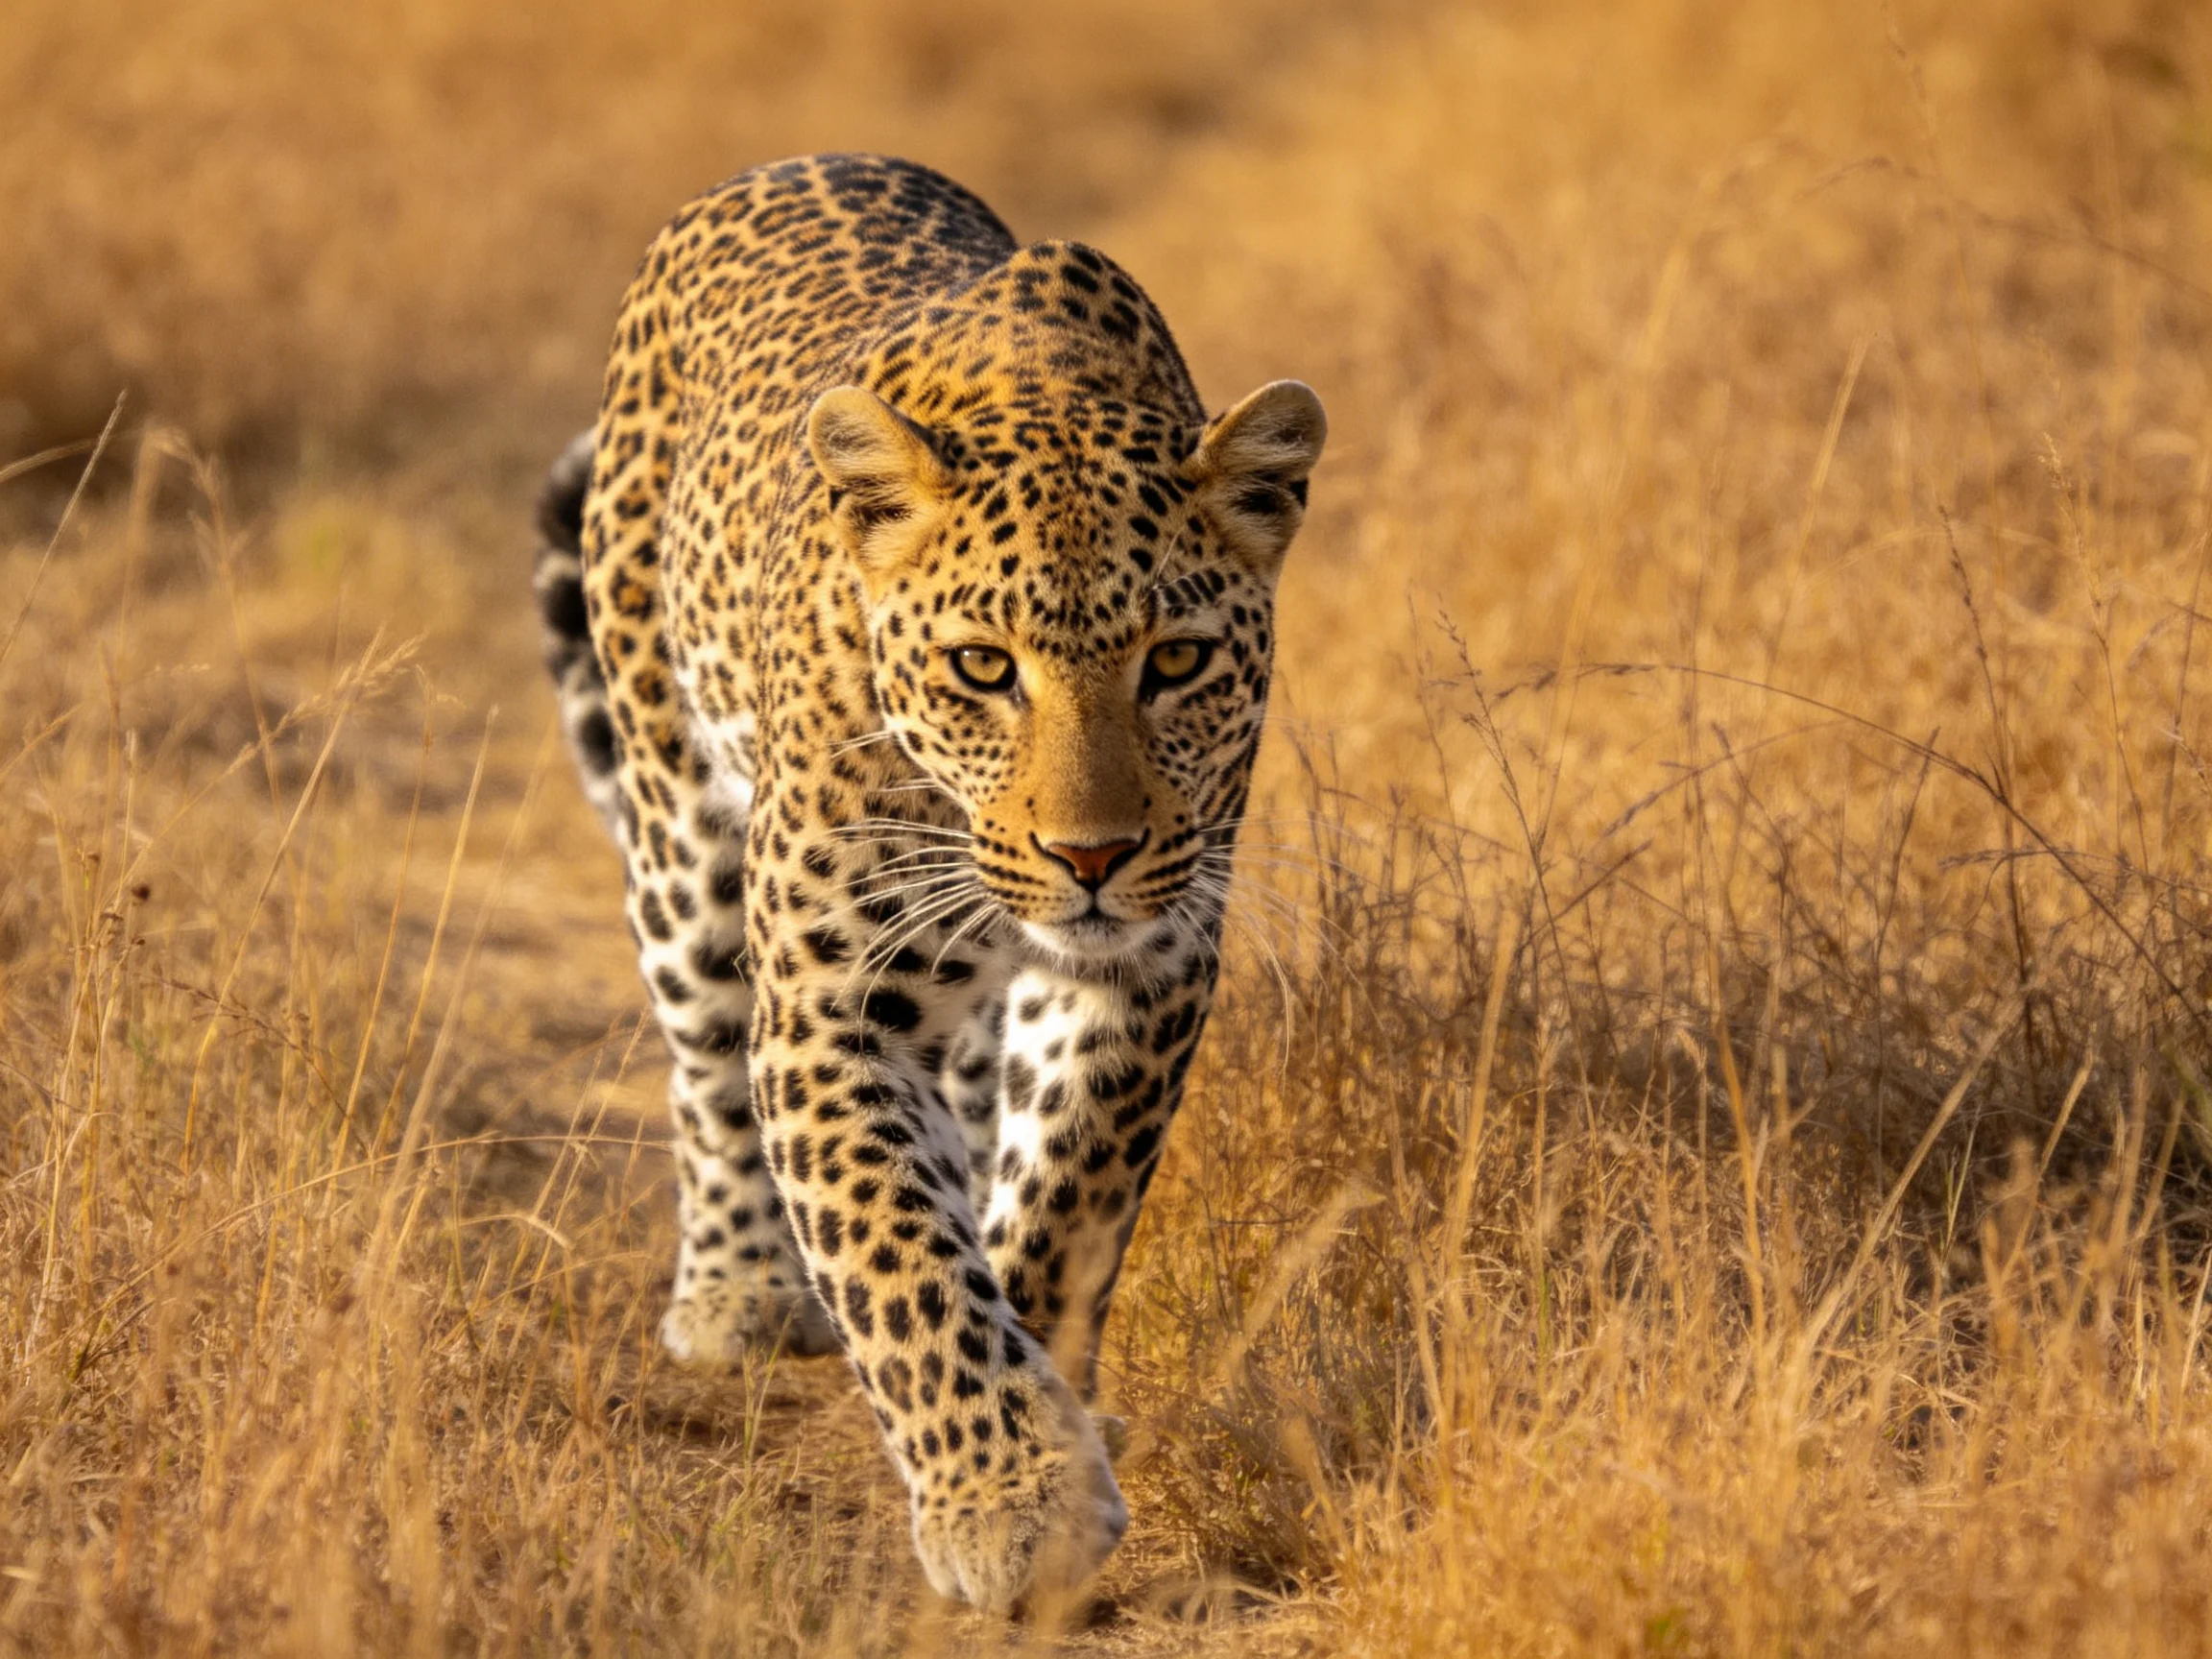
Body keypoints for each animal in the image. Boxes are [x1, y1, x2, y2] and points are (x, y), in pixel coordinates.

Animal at [530, 153, 1325, 1612]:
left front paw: (1037, 1412)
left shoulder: (1147, 961)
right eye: (982, 668)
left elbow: (1062, 1194)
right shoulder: (838, 995)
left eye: (1179, 662)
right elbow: (895, 1245)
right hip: (676, 817)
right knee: (705, 1057)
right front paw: (1007, 1496)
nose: (1090, 856)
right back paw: (736, 1293)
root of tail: (790, 161)